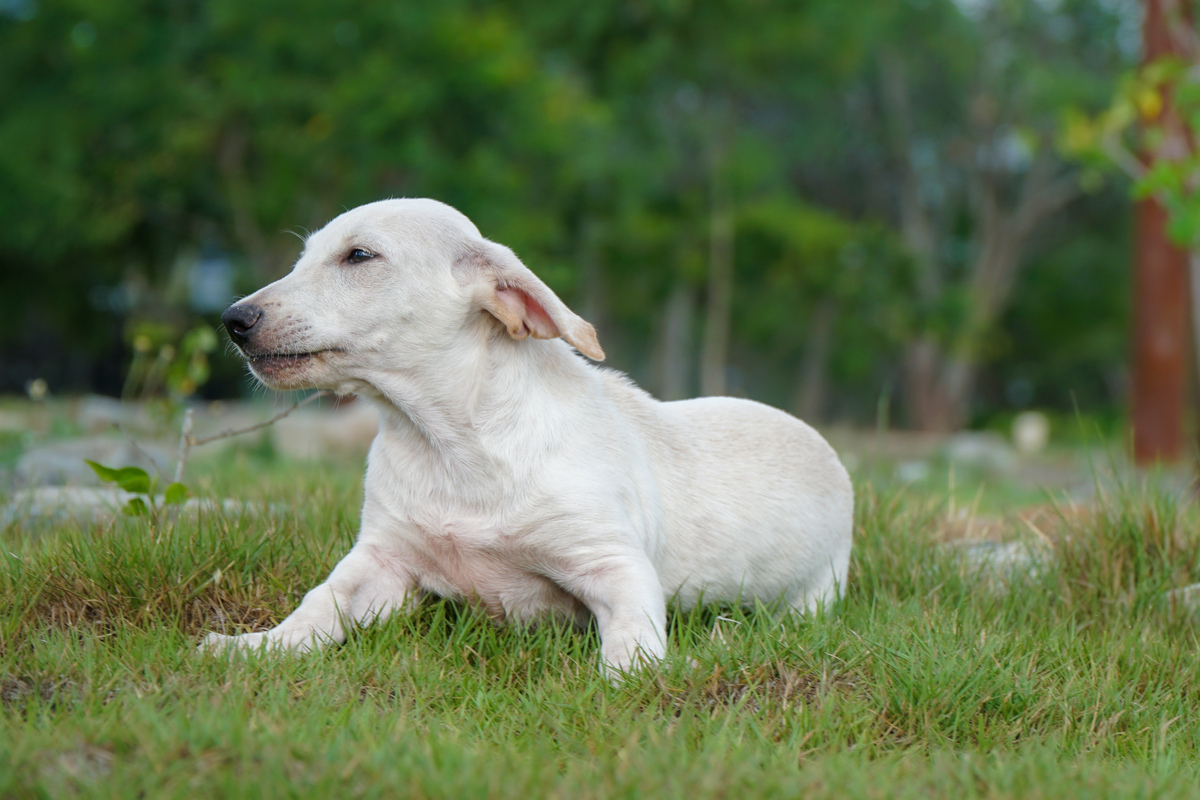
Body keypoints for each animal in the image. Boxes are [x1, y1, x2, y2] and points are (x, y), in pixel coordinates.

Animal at [211, 196, 859, 671]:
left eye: (359, 255)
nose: (233, 320)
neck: (451, 443)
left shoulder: (616, 565)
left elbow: (633, 646)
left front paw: (642, 679)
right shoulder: (382, 559)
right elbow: (319, 605)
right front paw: (255, 646)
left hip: (817, 594)